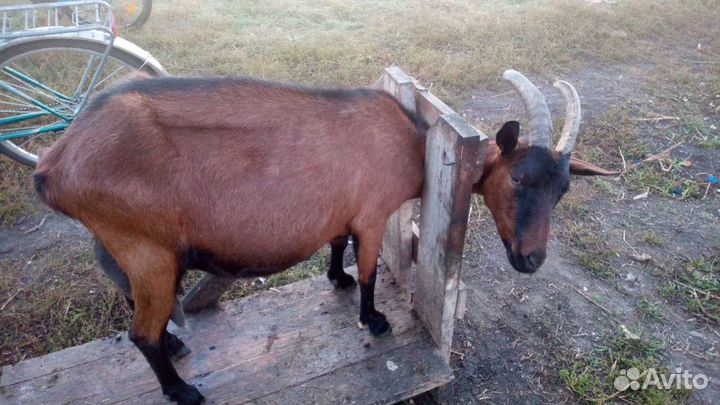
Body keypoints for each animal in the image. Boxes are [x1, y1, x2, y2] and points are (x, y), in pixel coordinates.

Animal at [33, 70, 616, 405]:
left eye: (563, 189)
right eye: (518, 178)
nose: (531, 259)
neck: (410, 138)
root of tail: (54, 165)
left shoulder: (345, 212)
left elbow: (337, 246)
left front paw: (336, 280)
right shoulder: (374, 214)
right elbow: (372, 269)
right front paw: (374, 320)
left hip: (125, 248)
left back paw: (177, 346)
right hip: (148, 250)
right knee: (141, 334)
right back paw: (182, 390)